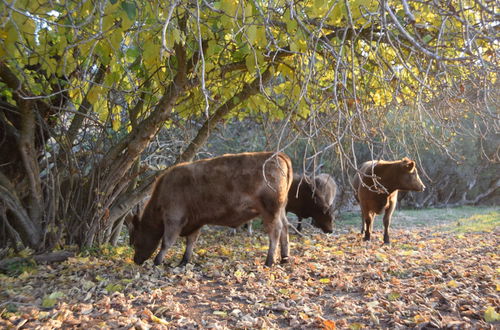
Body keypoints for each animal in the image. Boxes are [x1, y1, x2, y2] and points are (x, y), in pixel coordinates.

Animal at [127, 152, 294, 268]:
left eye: (135, 240)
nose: (136, 260)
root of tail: (277, 155)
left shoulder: (174, 218)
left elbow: (166, 241)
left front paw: (157, 261)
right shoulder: (194, 221)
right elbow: (191, 241)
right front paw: (184, 261)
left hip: (270, 210)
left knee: (275, 231)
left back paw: (269, 261)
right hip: (280, 209)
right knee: (285, 227)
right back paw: (284, 258)